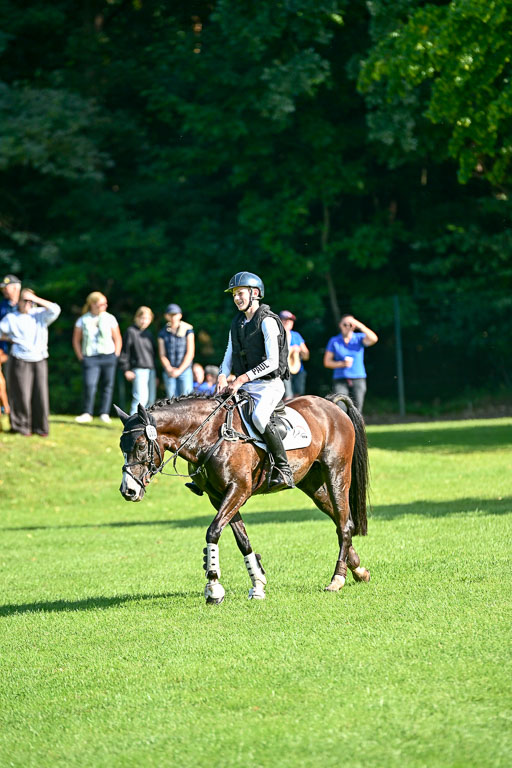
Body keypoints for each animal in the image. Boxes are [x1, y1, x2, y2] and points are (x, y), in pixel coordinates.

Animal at [114, 392, 370, 604]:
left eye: (140, 445)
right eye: (121, 447)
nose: (128, 491)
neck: (209, 434)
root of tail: (329, 404)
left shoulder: (238, 490)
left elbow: (213, 532)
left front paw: (213, 587)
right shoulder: (219, 497)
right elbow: (242, 540)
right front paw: (257, 584)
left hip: (336, 473)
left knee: (344, 523)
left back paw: (337, 579)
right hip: (312, 484)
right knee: (341, 521)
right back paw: (357, 569)